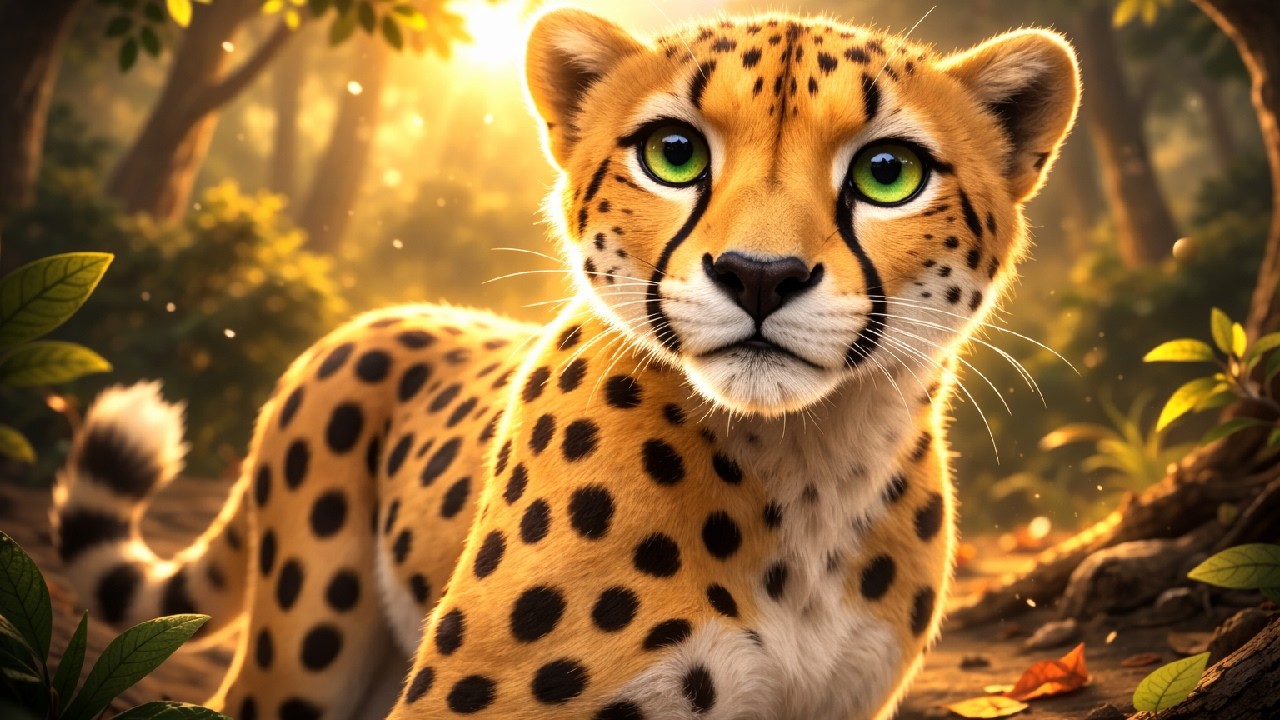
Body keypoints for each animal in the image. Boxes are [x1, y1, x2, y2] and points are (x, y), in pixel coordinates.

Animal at [51, 7, 1080, 720]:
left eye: (887, 173)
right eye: (674, 153)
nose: (760, 275)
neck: (808, 470)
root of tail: (368, 320)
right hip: (305, 656)